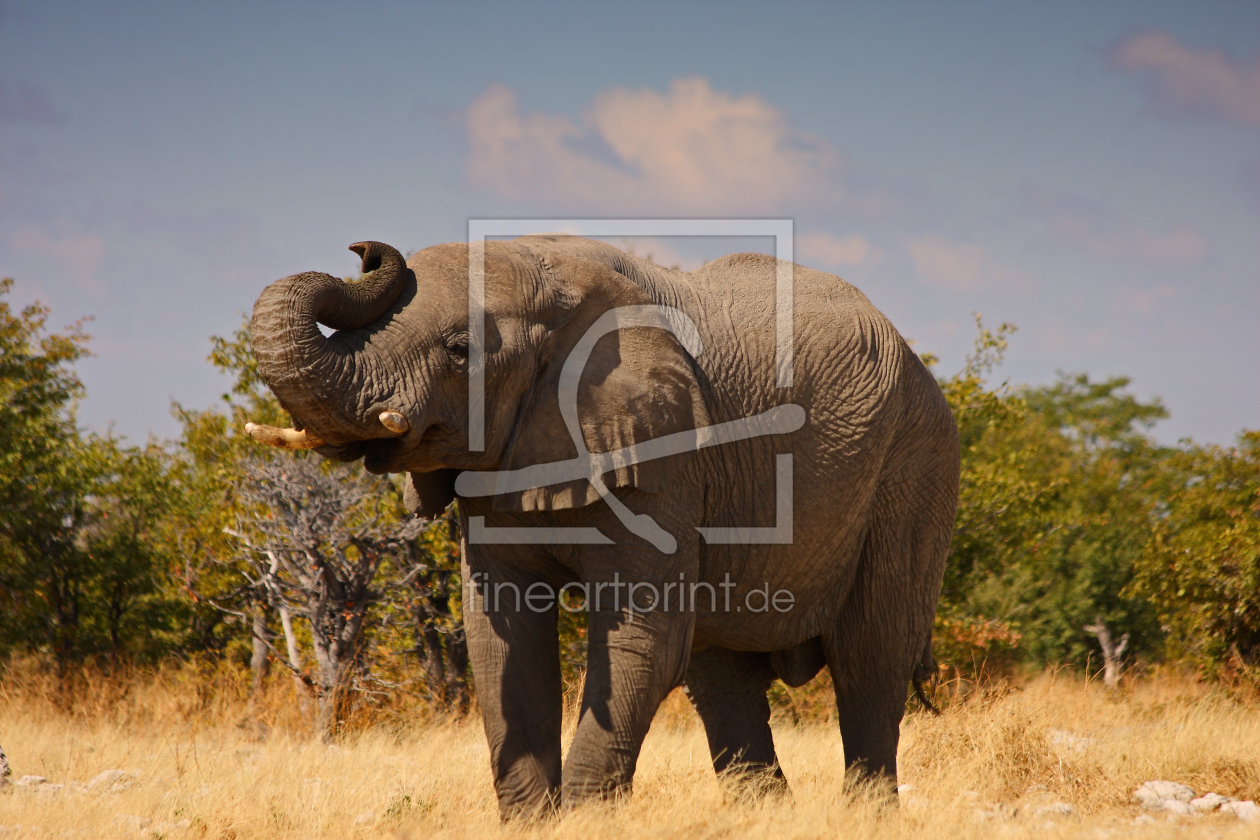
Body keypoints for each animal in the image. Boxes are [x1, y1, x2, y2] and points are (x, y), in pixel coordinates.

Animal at [243, 232, 952, 816]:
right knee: (723, 677)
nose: (365, 250)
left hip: (913, 467)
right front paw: (534, 823)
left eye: (460, 351)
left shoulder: (666, 456)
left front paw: (584, 822)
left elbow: (643, 636)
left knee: (869, 659)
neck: (548, 272)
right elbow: (502, 640)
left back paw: (864, 816)